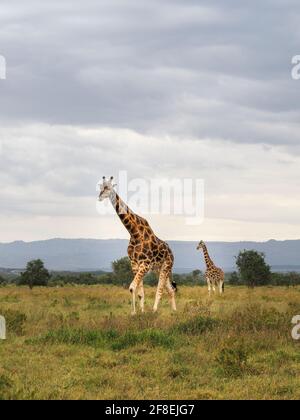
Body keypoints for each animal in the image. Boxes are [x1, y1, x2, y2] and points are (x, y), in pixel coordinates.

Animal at [97, 175, 177, 316]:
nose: (100, 196)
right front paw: (140, 312)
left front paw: (136, 313)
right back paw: (174, 311)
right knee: (170, 289)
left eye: (108, 187)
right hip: (159, 268)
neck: (134, 232)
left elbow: (132, 287)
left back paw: (155, 310)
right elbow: (139, 291)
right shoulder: (134, 263)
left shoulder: (145, 263)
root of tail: (171, 253)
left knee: (160, 290)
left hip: (166, 266)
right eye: (101, 187)